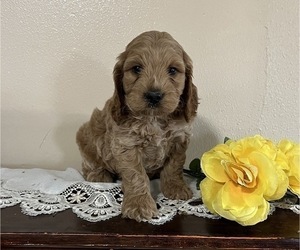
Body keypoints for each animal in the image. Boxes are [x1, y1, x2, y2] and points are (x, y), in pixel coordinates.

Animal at [77, 30, 199, 221]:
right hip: (87, 133)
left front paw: (176, 188)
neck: (154, 119)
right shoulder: (126, 144)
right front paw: (139, 204)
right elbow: (136, 175)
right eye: (136, 69)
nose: (154, 95)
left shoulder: (179, 139)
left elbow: (174, 166)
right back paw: (99, 175)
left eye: (173, 70)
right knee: (89, 163)